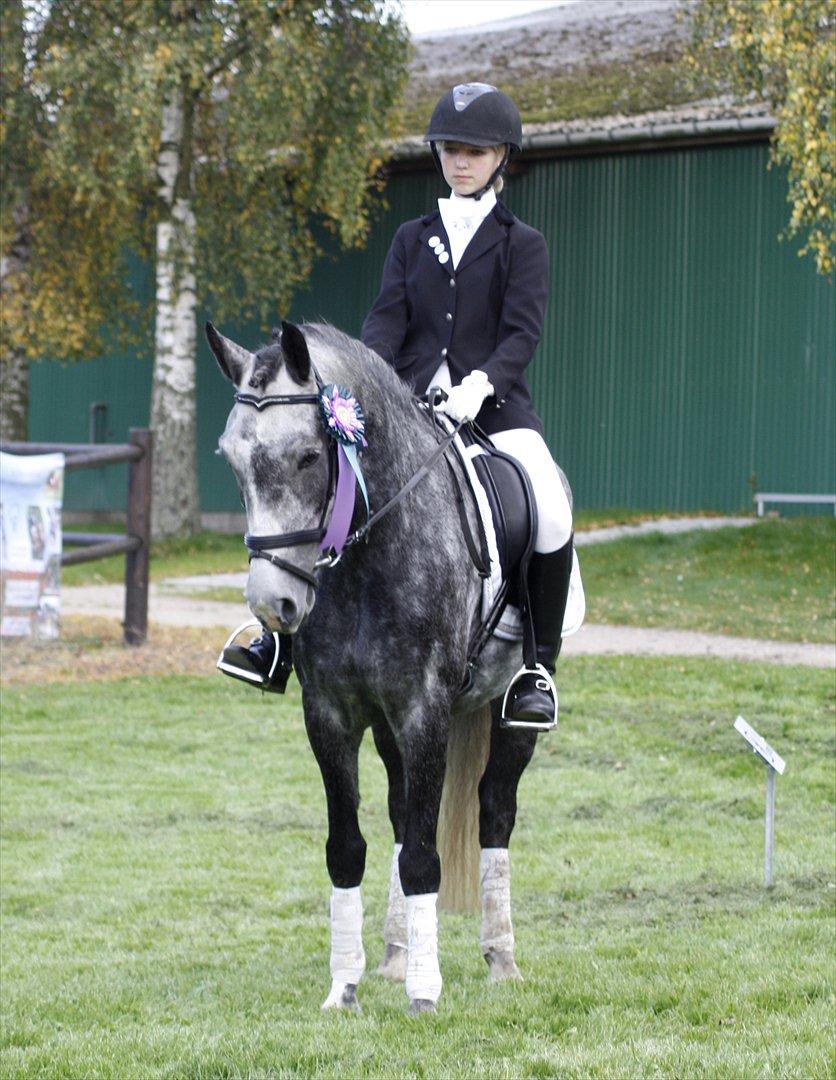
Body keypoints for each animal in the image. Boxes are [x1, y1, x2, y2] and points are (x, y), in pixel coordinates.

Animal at [206, 318, 557, 1015]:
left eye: (308, 457)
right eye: (232, 460)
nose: (272, 606)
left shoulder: (425, 710)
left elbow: (424, 854)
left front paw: (425, 995)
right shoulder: (331, 713)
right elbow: (348, 848)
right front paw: (344, 987)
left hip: (506, 712)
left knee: (494, 811)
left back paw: (500, 958)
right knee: (400, 811)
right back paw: (396, 953)